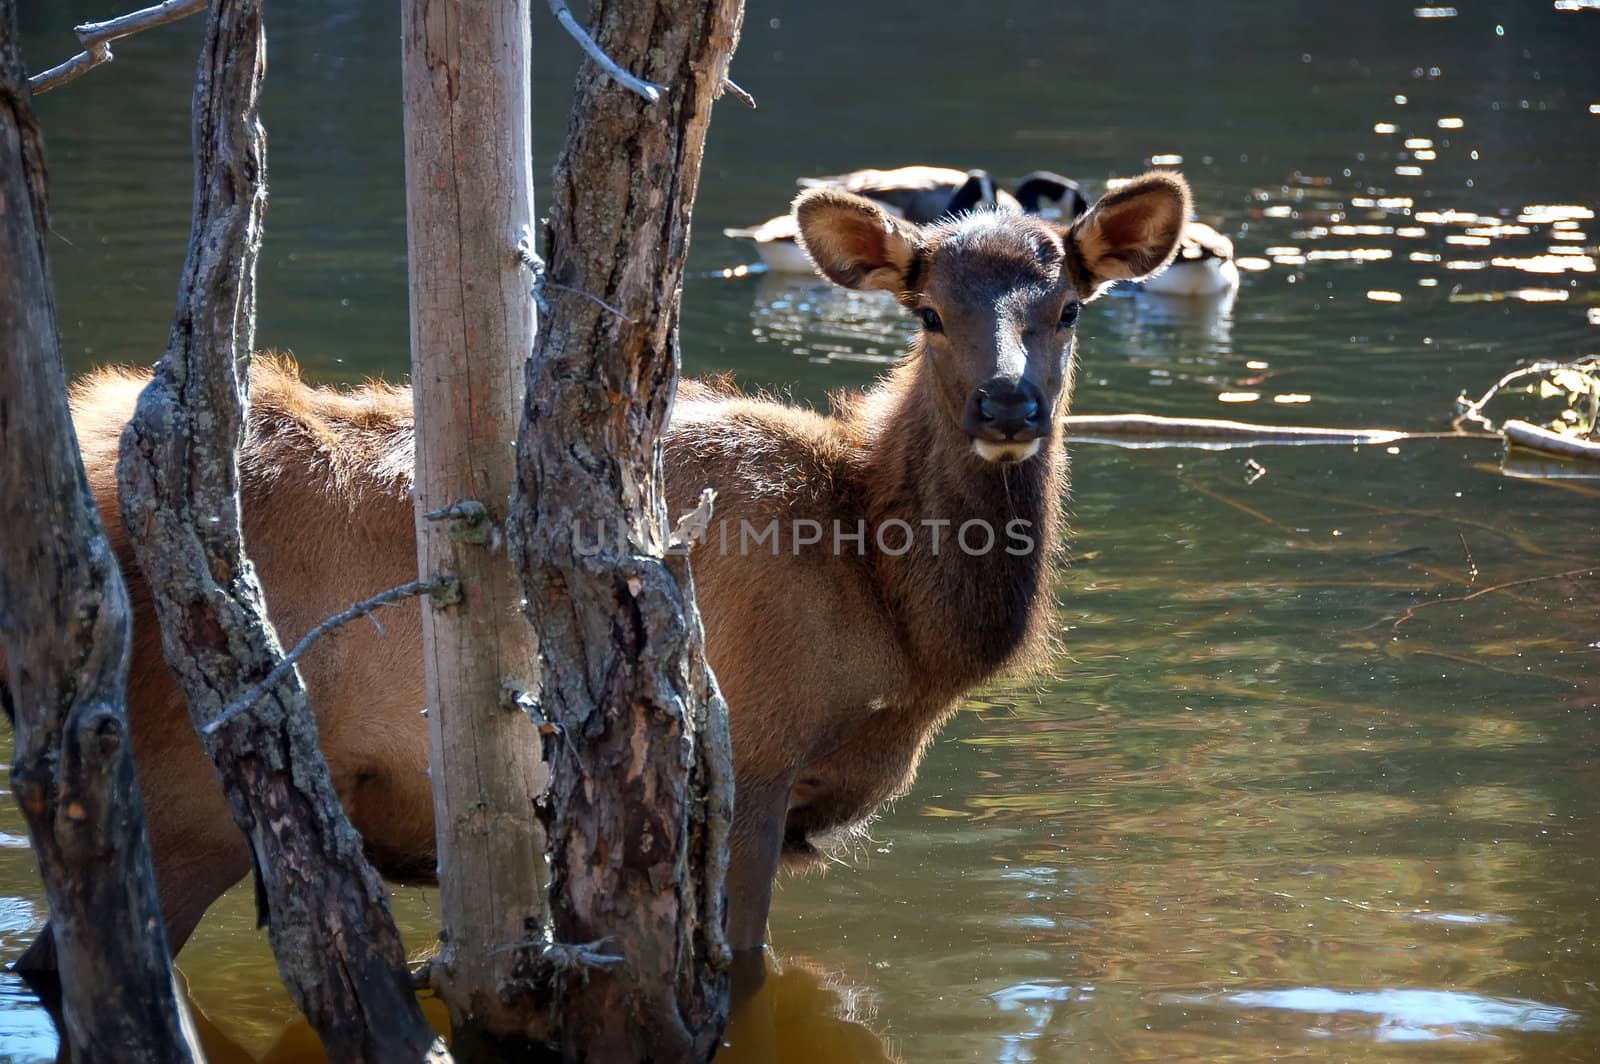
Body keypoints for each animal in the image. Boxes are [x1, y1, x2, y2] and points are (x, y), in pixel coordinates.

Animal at [6, 170, 1190, 966]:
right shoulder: (750, 760)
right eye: (930, 311)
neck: (892, 627)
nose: (1008, 405)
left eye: (1068, 308)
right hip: (180, 782)